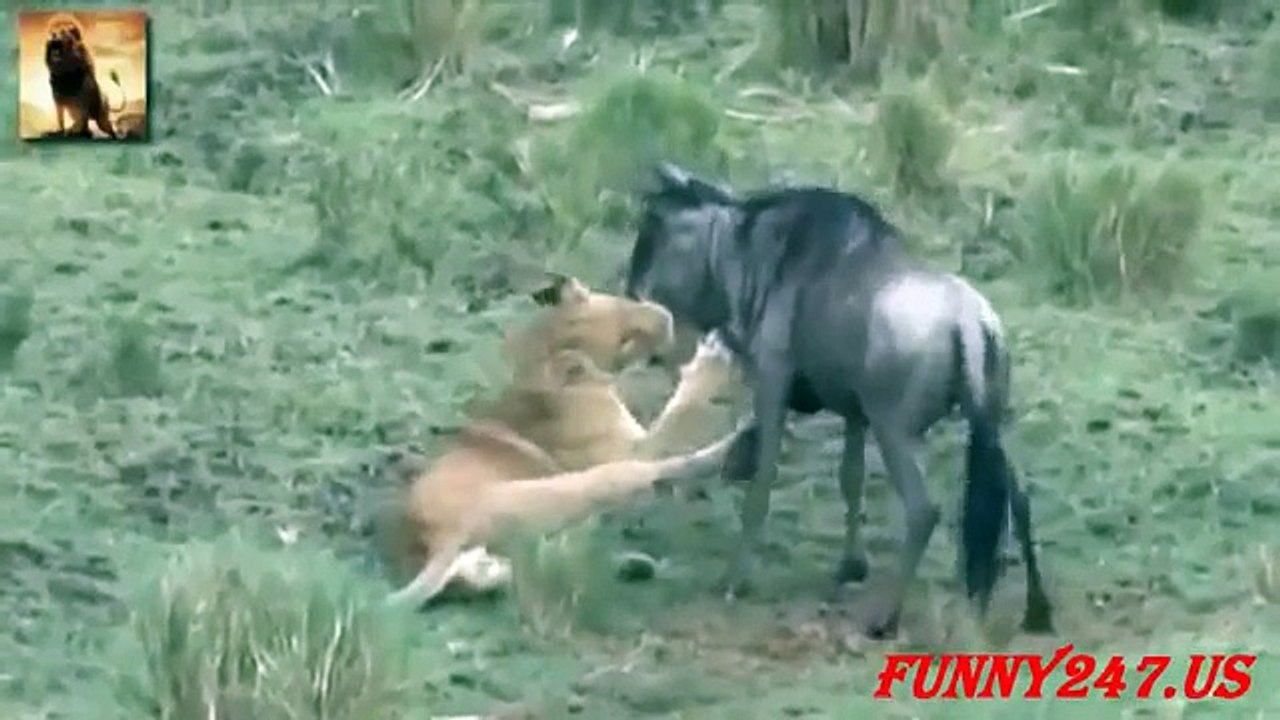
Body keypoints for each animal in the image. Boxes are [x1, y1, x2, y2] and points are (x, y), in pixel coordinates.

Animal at [382, 276, 742, 608]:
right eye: (625, 341)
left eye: (617, 303)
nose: (665, 317)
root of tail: (434, 535)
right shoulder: (634, 448)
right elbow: (679, 411)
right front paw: (713, 360)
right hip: (588, 482)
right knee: (663, 471)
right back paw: (731, 441)